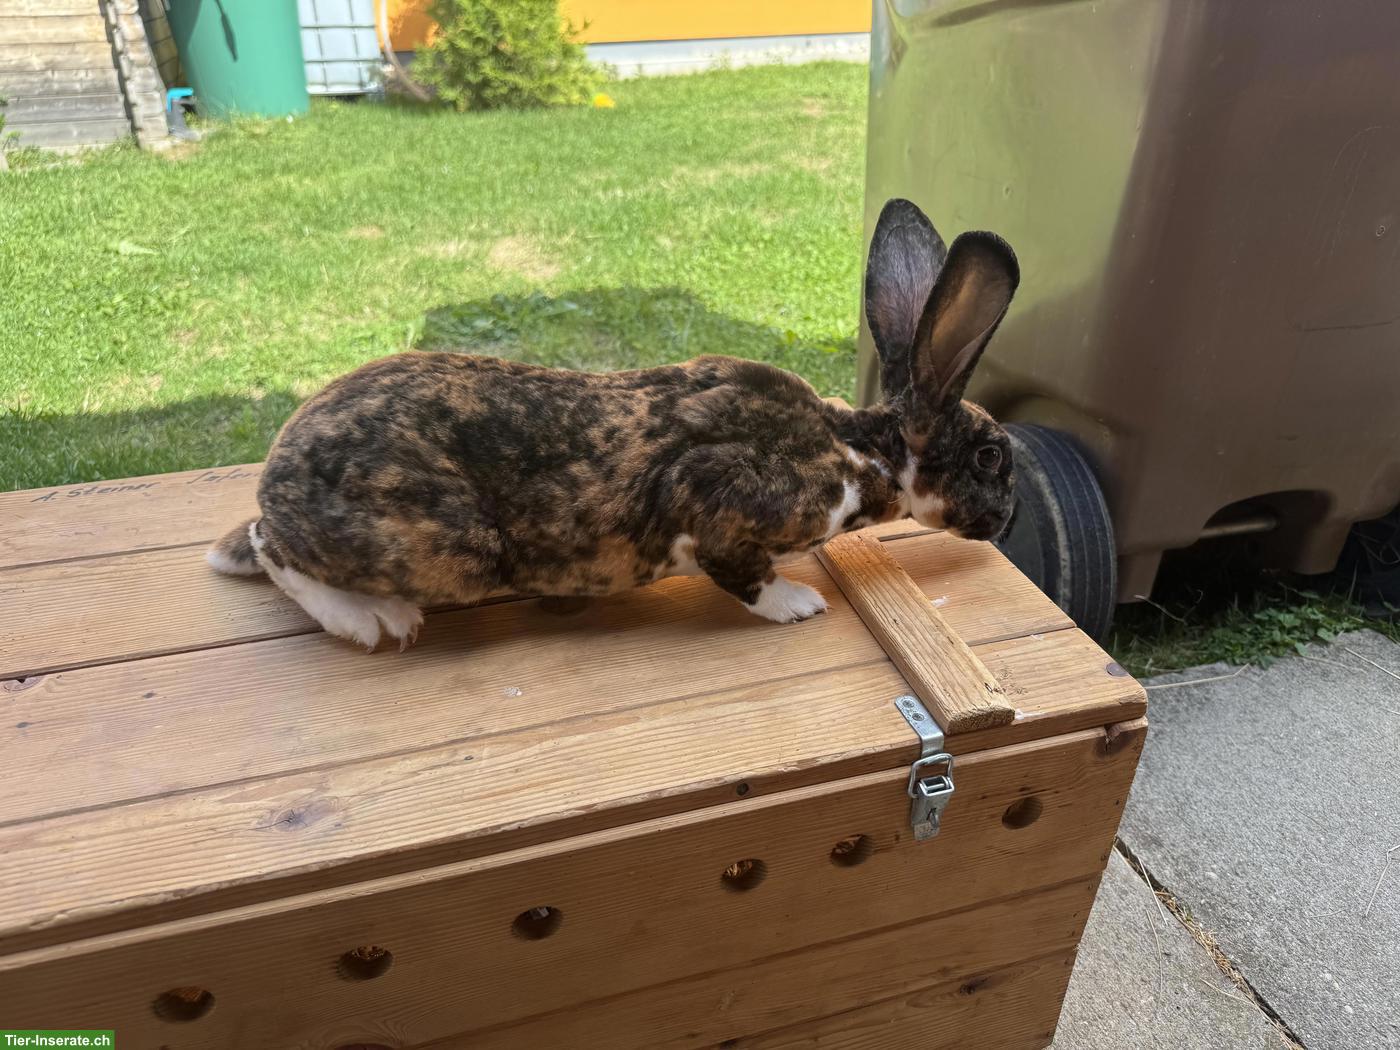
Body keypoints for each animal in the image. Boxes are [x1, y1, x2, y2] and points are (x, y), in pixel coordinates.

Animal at [206, 198, 1020, 650]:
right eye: (990, 458)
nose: (1007, 520)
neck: (860, 448)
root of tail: (276, 476)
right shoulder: (719, 502)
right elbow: (746, 576)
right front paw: (799, 604)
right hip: (451, 550)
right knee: (272, 547)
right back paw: (374, 621)